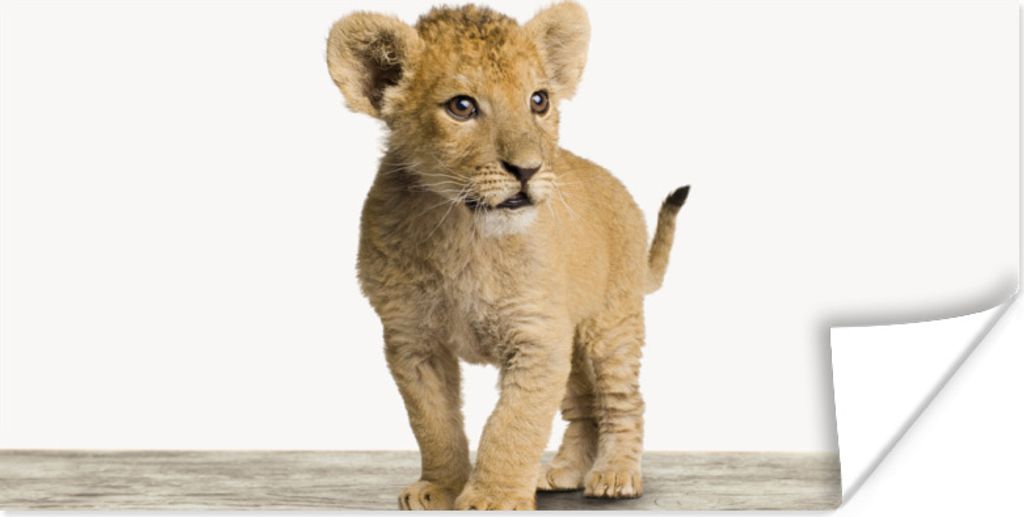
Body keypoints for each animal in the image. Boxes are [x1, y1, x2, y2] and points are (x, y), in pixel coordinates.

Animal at [326, 2, 689, 510]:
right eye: (462, 106)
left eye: (539, 100)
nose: (527, 169)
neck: (461, 231)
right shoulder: (412, 340)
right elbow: (433, 423)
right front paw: (440, 488)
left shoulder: (537, 336)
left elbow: (512, 424)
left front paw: (491, 498)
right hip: (573, 339)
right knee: (582, 408)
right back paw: (562, 472)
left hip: (609, 324)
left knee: (622, 400)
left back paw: (615, 475)